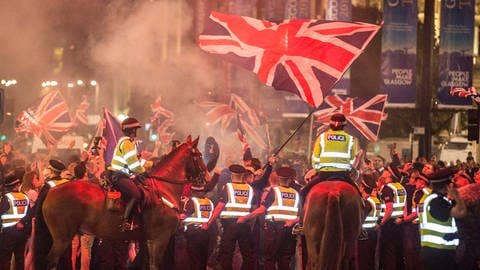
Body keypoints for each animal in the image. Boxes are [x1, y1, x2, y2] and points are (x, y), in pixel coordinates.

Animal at [33, 136, 206, 268]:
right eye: (198, 155)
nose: (206, 177)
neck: (164, 189)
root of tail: (52, 190)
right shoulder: (160, 239)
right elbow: (155, 266)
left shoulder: (151, 241)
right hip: (62, 238)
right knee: (51, 262)